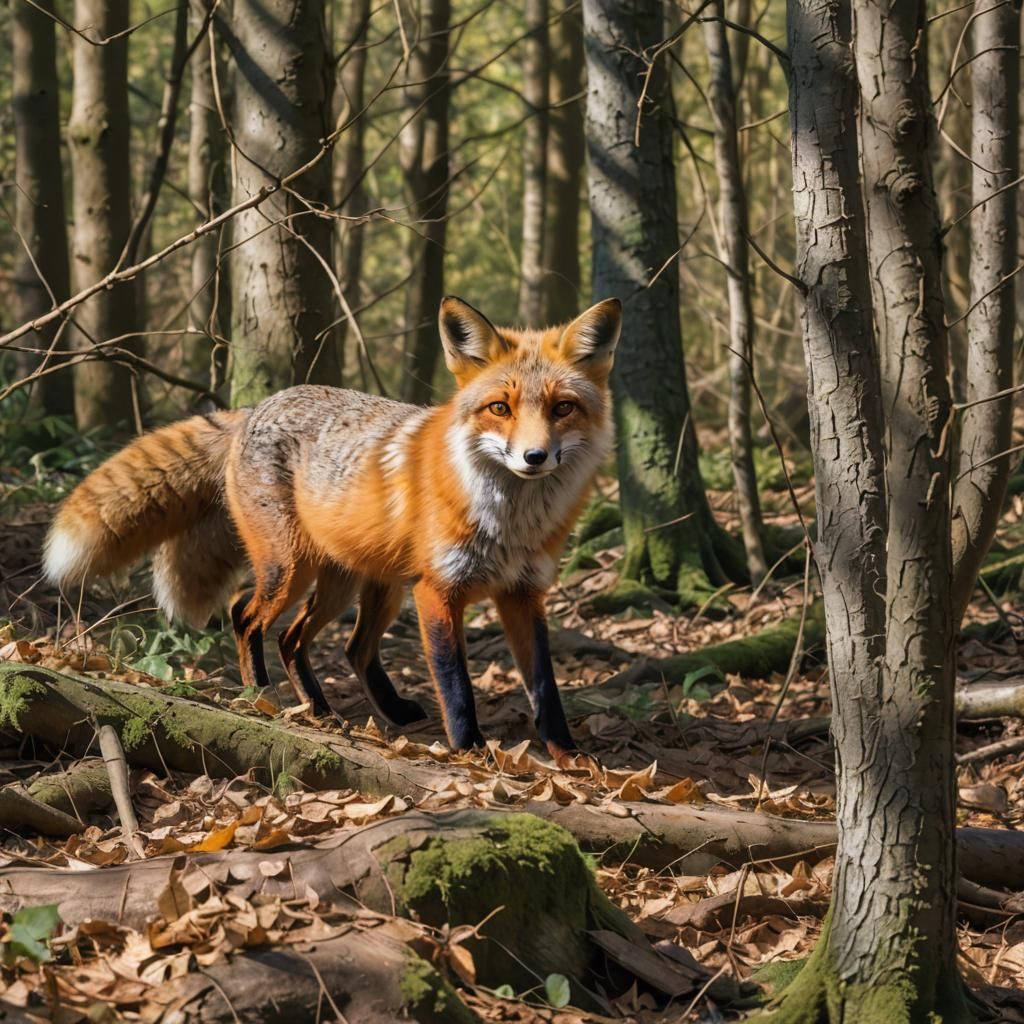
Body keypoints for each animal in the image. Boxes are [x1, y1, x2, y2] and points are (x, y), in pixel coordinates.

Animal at [43, 296, 622, 760]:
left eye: (563, 408)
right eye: (500, 407)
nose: (534, 457)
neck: (511, 523)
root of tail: (256, 406)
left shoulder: (523, 594)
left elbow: (545, 685)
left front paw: (568, 755)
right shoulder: (438, 591)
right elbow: (456, 684)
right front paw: (472, 751)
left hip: (362, 585)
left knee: (322, 643)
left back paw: (337, 710)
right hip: (293, 570)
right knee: (247, 617)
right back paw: (265, 699)